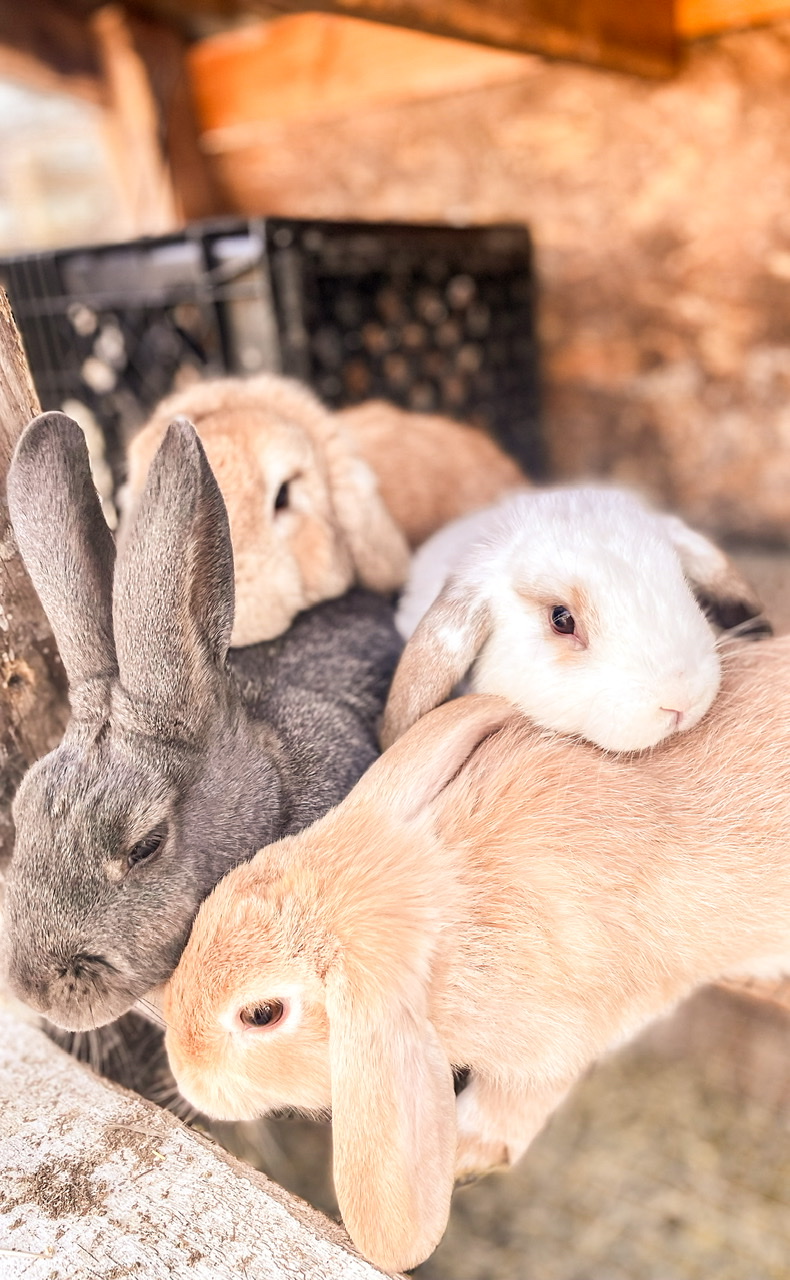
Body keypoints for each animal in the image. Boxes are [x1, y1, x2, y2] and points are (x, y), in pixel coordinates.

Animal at [163, 636, 790, 1272]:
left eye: (262, 1014)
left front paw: (463, 1154)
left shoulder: (562, 1040)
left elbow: (513, 1104)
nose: (185, 1073)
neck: (450, 914)